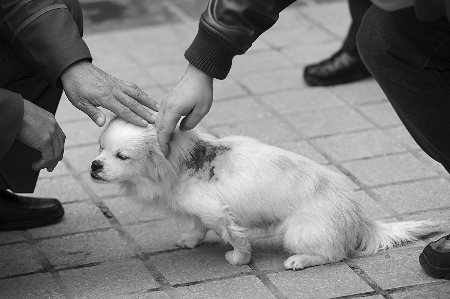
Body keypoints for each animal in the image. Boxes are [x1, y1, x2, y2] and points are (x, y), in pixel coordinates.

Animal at [90, 118, 440, 270]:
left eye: (121, 156)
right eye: (99, 148)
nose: (94, 165)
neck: (184, 161)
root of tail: (358, 218)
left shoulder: (221, 214)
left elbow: (235, 239)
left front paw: (238, 259)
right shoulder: (201, 212)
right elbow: (197, 224)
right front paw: (191, 239)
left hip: (296, 231)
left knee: (334, 254)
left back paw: (299, 260)